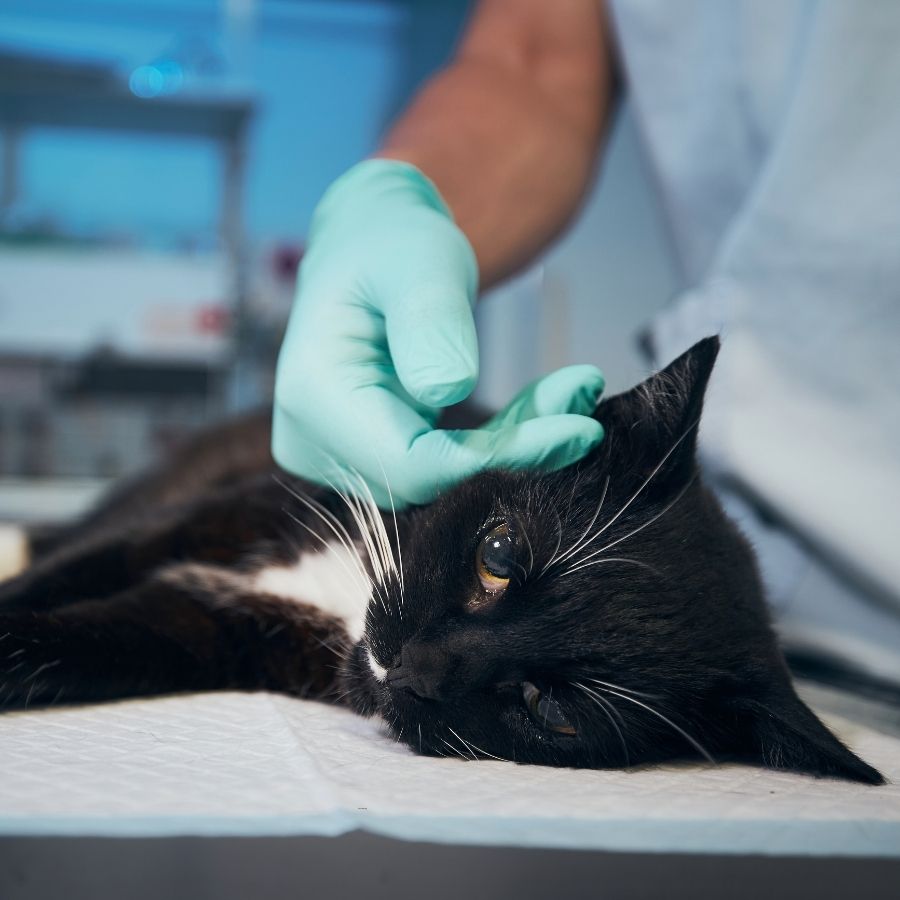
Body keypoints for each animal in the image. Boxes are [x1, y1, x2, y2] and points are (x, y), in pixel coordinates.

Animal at [0, 338, 884, 780]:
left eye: (552, 711)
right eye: (499, 553)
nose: (414, 666)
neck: (341, 596)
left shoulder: (224, 629)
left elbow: (105, 638)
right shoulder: (228, 514)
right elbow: (88, 563)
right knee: (74, 531)